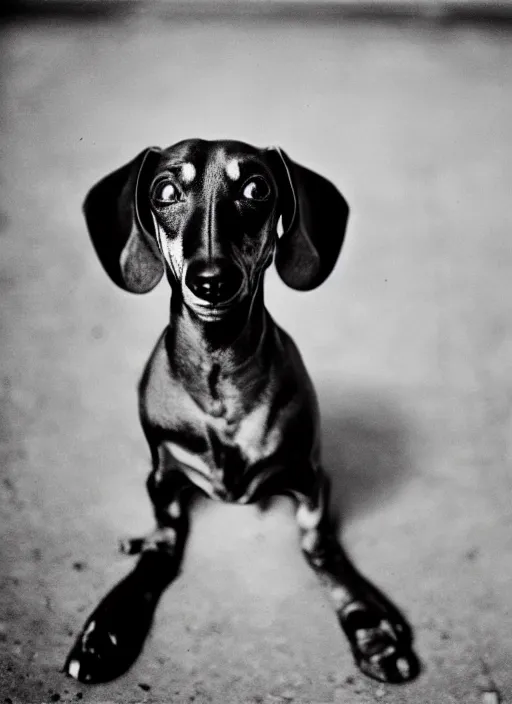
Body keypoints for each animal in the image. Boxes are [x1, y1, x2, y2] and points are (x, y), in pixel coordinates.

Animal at [64, 140, 418, 684]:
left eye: (256, 188)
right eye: (165, 190)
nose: (212, 280)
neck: (221, 377)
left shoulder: (310, 477)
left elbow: (322, 548)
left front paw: (371, 627)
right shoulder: (162, 480)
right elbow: (159, 549)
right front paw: (109, 626)